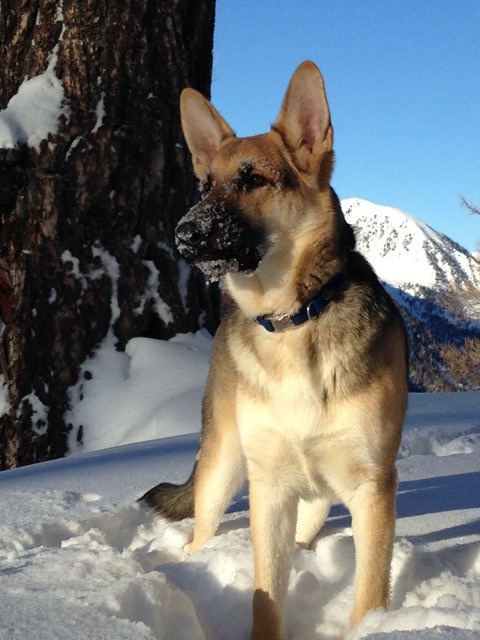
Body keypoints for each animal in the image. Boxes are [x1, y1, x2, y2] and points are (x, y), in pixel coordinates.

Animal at [141, 61, 406, 640]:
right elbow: (266, 596)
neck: (292, 321)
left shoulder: (372, 486)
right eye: (205, 184)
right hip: (222, 467)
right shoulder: (269, 488)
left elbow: (370, 591)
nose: (184, 234)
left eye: (252, 179)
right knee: (201, 530)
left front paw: (370, 625)